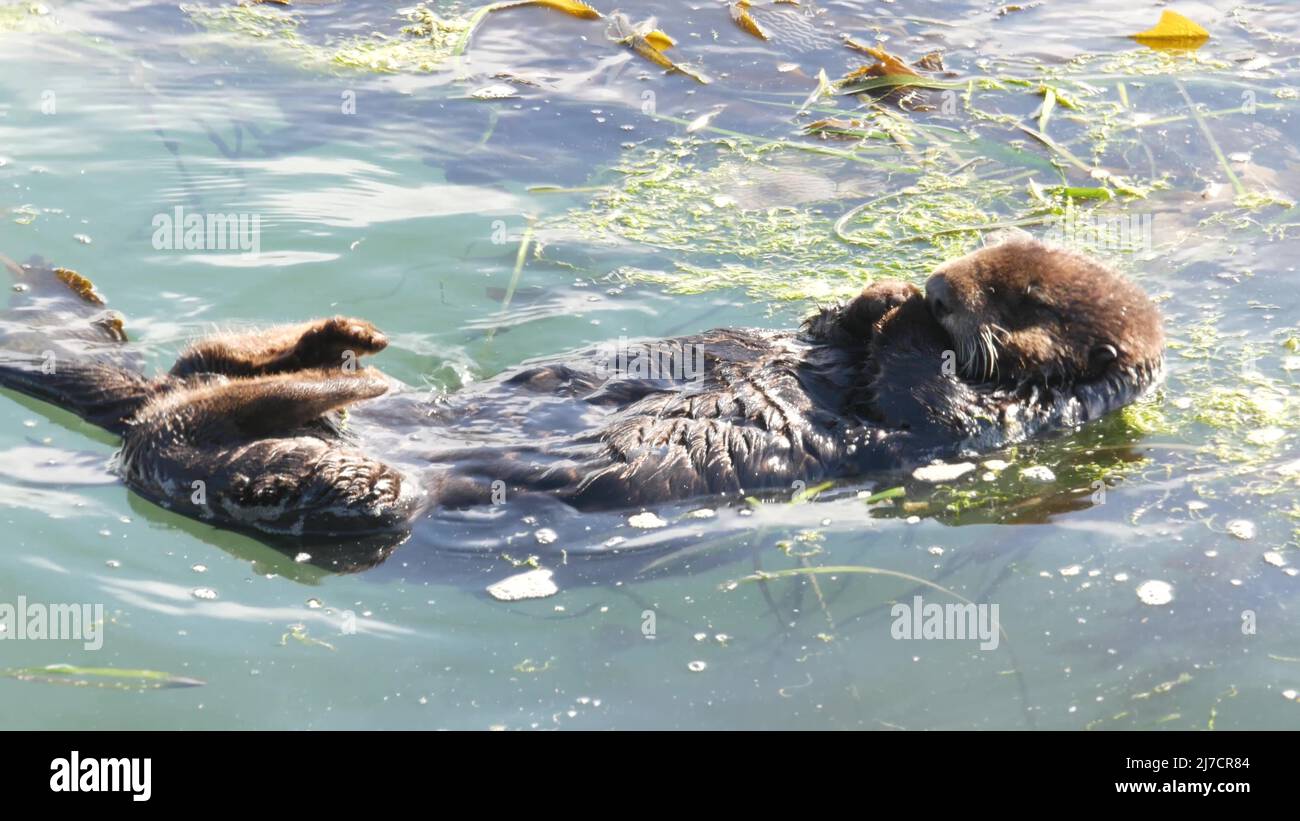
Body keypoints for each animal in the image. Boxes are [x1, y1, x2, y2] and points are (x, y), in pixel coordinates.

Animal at [0, 238, 1163, 541]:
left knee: (229, 444)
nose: (936, 284)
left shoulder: (995, 423)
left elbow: (930, 398)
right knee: (197, 369)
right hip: (228, 402)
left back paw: (333, 380)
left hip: (344, 488)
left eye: (1021, 295)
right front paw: (867, 298)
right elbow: (830, 335)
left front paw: (904, 320)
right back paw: (340, 344)